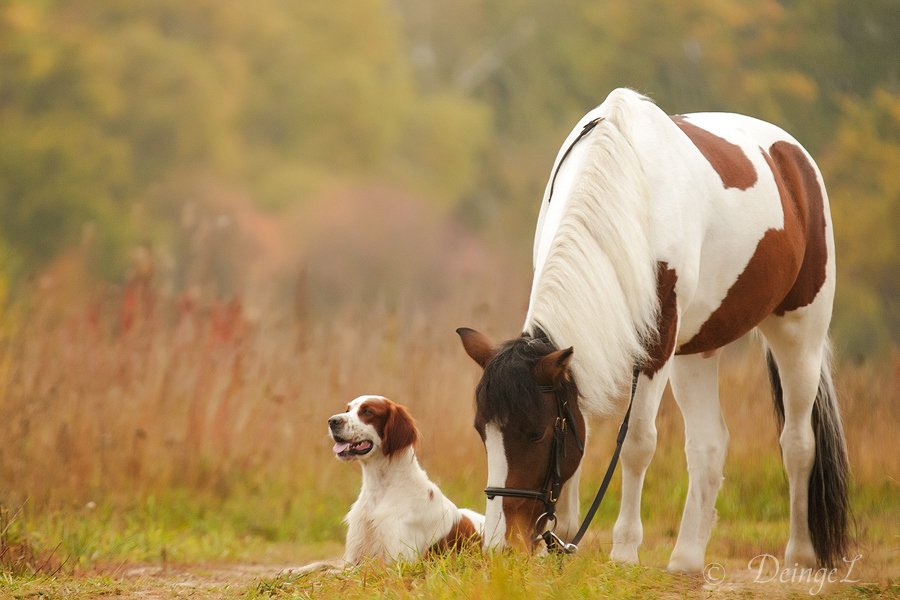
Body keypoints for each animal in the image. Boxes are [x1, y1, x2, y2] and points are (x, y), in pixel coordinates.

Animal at [316, 394, 486, 568]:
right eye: (347, 410)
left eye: (367, 411)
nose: (332, 421)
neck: (380, 489)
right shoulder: (353, 558)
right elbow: (321, 566)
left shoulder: (400, 561)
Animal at [460, 88, 848, 572]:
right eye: (482, 432)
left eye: (536, 433)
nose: (501, 545)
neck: (627, 186)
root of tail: (793, 158)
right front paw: (566, 528)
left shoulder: (656, 346)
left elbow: (638, 443)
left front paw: (624, 548)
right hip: (698, 350)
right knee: (708, 445)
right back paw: (686, 559)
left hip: (799, 334)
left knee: (797, 443)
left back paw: (799, 555)